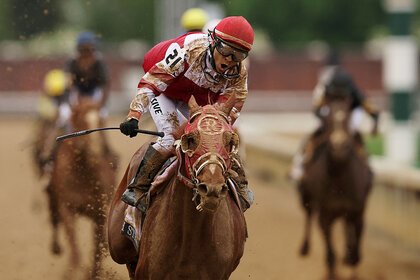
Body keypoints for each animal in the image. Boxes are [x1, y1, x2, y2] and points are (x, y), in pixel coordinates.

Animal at [47, 97, 116, 278]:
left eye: (101, 121)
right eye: (81, 121)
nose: (96, 150)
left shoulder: (99, 211)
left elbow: (97, 250)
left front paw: (94, 273)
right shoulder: (67, 208)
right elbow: (74, 244)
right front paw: (74, 272)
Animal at [106, 95, 248, 278]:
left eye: (230, 140)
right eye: (191, 139)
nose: (212, 188)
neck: (190, 238)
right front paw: (130, 123)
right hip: (118, 245)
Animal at [296, 91, 372, 278]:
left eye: (348, 116)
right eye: (327, 117)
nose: (339, 145)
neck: (340, 182)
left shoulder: (358, 213)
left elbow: (356, 254)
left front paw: (351, 264)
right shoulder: (325, 215)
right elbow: (330, 253)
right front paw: (332, 272)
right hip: (306, 197)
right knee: (308, 215)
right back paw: (304, 247)